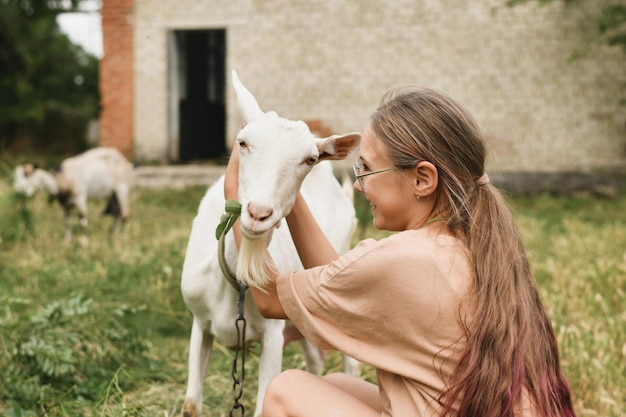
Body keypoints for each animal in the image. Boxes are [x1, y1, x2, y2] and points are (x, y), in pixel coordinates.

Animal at [178, 71, 360, 416]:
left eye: (310, 159)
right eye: (242, 142)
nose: (258, 213)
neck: (234, 283)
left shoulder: (273, 337)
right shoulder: (199, 324)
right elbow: (191, 404)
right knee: (314, 361)